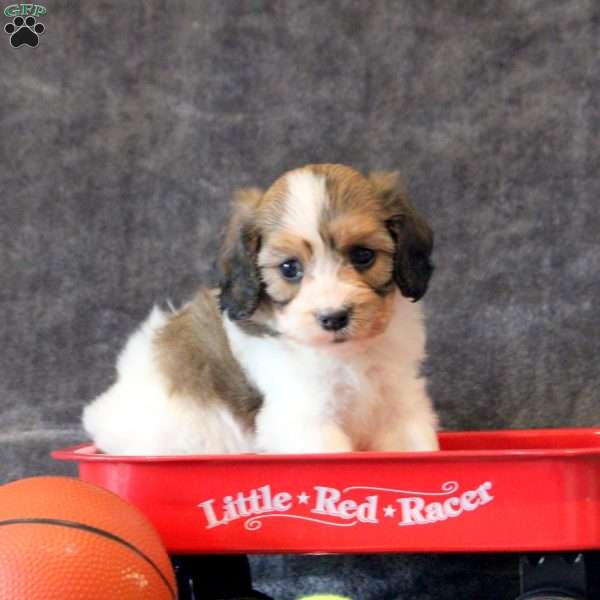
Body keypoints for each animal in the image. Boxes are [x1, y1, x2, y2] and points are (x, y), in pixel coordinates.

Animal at [82, 164, 438, 454]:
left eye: (363, 255)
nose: (334, 317)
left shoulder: (399, 405)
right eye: (290, 268)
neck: (348, 355)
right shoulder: (305, 422)